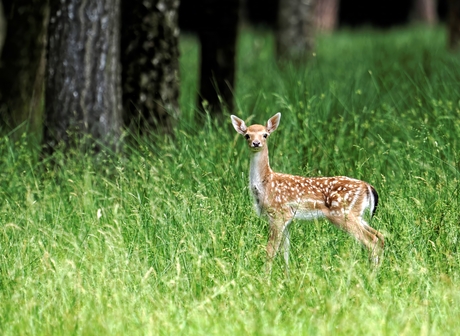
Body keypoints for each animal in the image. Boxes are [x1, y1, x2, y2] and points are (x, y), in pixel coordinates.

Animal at [230, 113, 384, 272]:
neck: (265, 185)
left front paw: (266, 276)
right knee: (380, 236)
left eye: (265, 135)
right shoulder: (287, 218)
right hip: (357, 215)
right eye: (247, 135)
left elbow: (270, 250)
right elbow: (285, 252)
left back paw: (372, 273)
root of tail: (368, 187)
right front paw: (286, 275)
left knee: (371, 240)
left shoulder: (279, 214)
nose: (256, 143)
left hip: (343, 214)